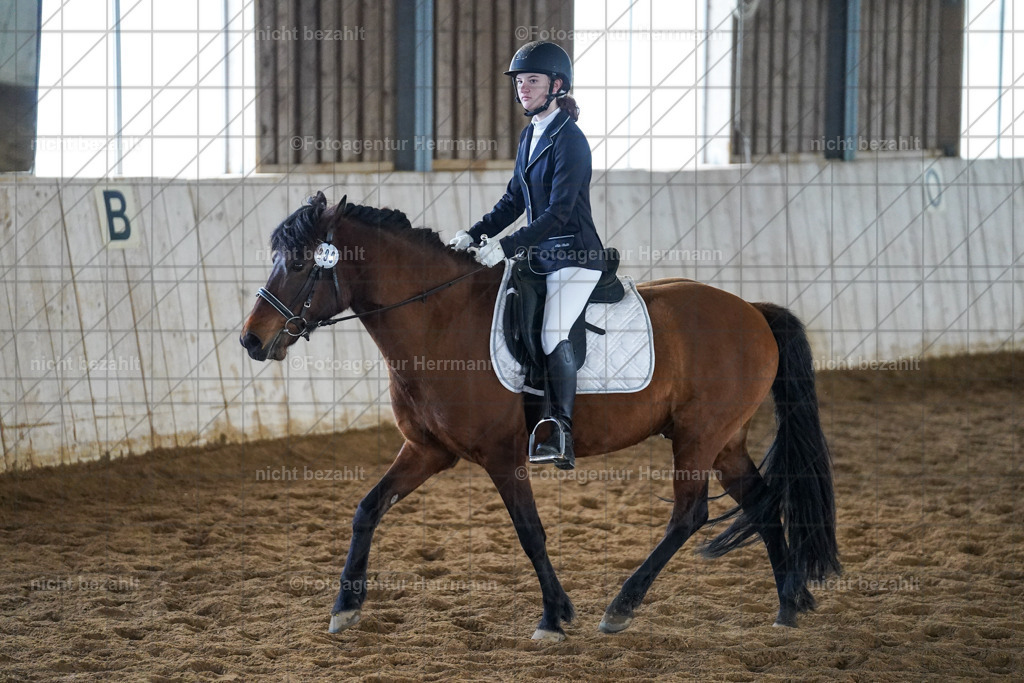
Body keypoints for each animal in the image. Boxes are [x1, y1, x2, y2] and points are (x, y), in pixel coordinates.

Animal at [240, 192, 840, 642]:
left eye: (299, 263)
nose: (251, 341)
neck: (440, 320)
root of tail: (753, 312)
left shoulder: (502, 456)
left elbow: (530, 532)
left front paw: (554, 616)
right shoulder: (428, 450)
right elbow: (367, 508)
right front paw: (345, 606)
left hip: (698, 437)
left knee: (689, 515)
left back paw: (621, 607)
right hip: (725, 441)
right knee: (762, 501)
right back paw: (787, 606)